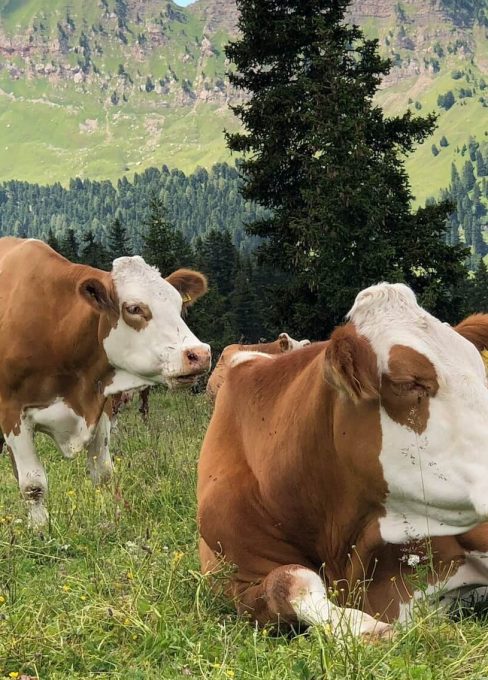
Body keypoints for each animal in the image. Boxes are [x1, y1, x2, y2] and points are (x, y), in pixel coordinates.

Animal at [0, 237, 211, 528]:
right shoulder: (13, 413)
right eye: (134, 308)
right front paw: (41, 529)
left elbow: (103, 472)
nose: (199, 354)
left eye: (179, 305)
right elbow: (33, 485)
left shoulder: (102, 404)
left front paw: (110, 519)